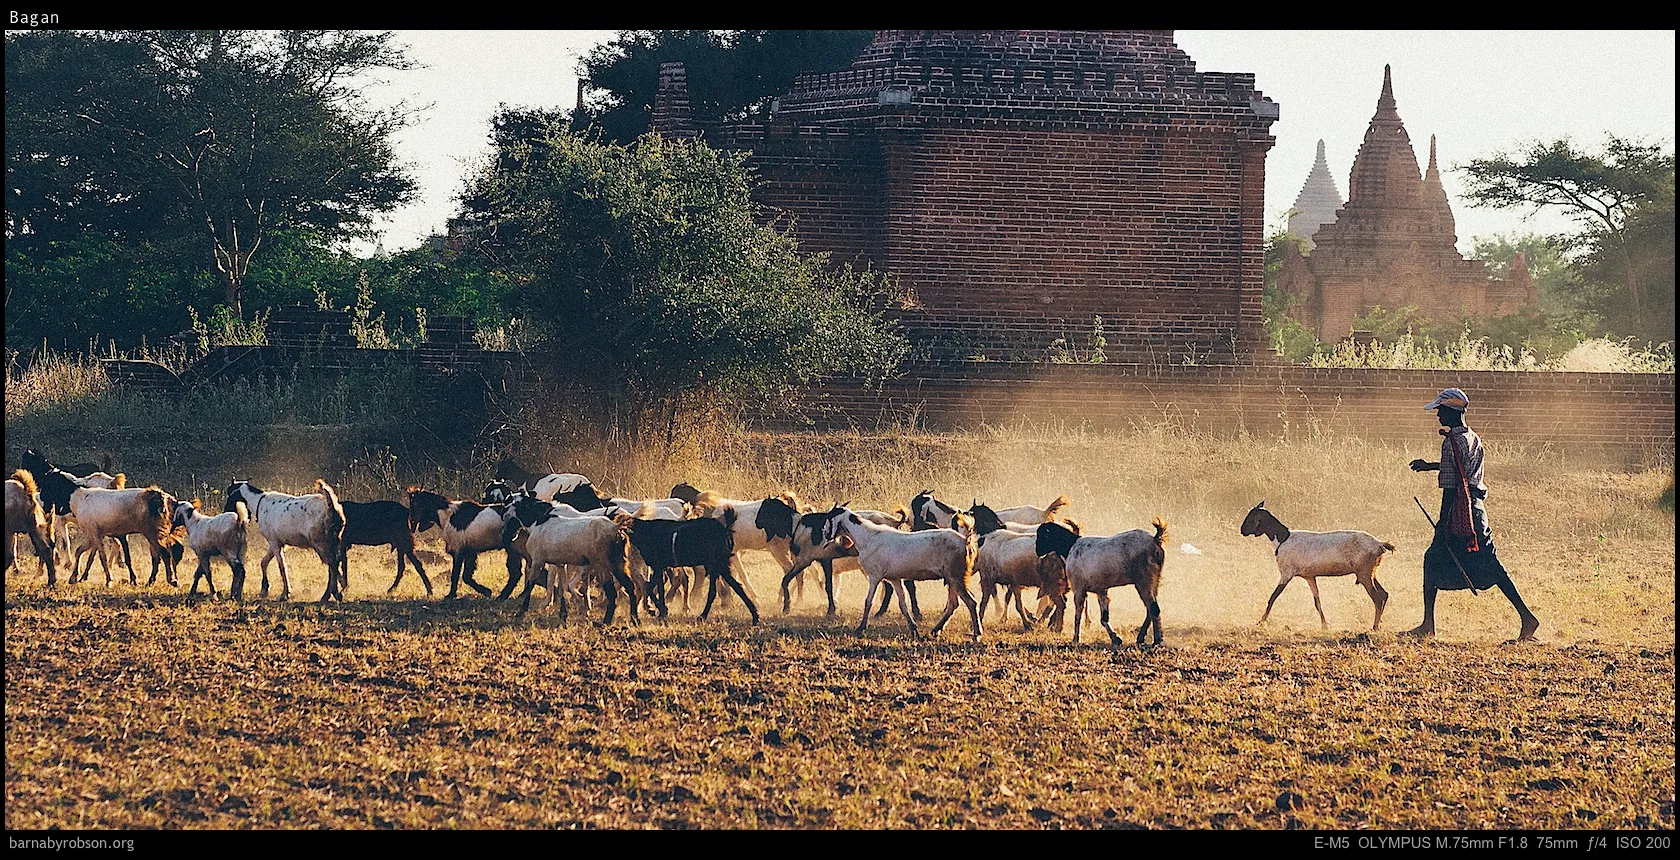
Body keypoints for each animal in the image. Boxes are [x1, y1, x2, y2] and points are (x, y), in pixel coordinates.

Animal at [821, 505, 981, 641]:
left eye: (829, 519)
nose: (824, 535)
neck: (868, 537)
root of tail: (965, 541)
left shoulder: (875, 576)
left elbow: (868, 601)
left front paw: (861, 628)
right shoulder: (895, 579)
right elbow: (902, 604)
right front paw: (914, 629)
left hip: (956, 577)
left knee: (971, 602)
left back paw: (976, 634)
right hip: (952, 579)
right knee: (953, 604)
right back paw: (936, 630)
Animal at [1036, 518, 1168, 646]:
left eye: (1043, 535)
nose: (1037, 551)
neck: (1070, 547)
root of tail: (1155, 540)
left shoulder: (1078, 588)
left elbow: (1078, 614)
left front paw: (1075, 639)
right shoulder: (1101, 590)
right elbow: (1104, 618)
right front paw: (1115, 639)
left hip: (1144, 580)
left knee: (1153, 608)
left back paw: (1157, 640)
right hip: (1154, 581)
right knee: (1150, 609)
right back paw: (1141, 638)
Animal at [1240, 501, 1394, 631]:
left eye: (1251, 517)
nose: (1242, 530)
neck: (1283, 538)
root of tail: (1379, 544)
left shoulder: (1286, 573)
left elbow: (1273, 597)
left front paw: (1261, 622)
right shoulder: (1310, 576)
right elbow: (1317, 602)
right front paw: (1324, 625)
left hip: (1365, 574)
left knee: (1378, 599)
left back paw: (1374, 627)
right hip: (1370, 573)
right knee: (1384, 594)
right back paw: (1378, 625)